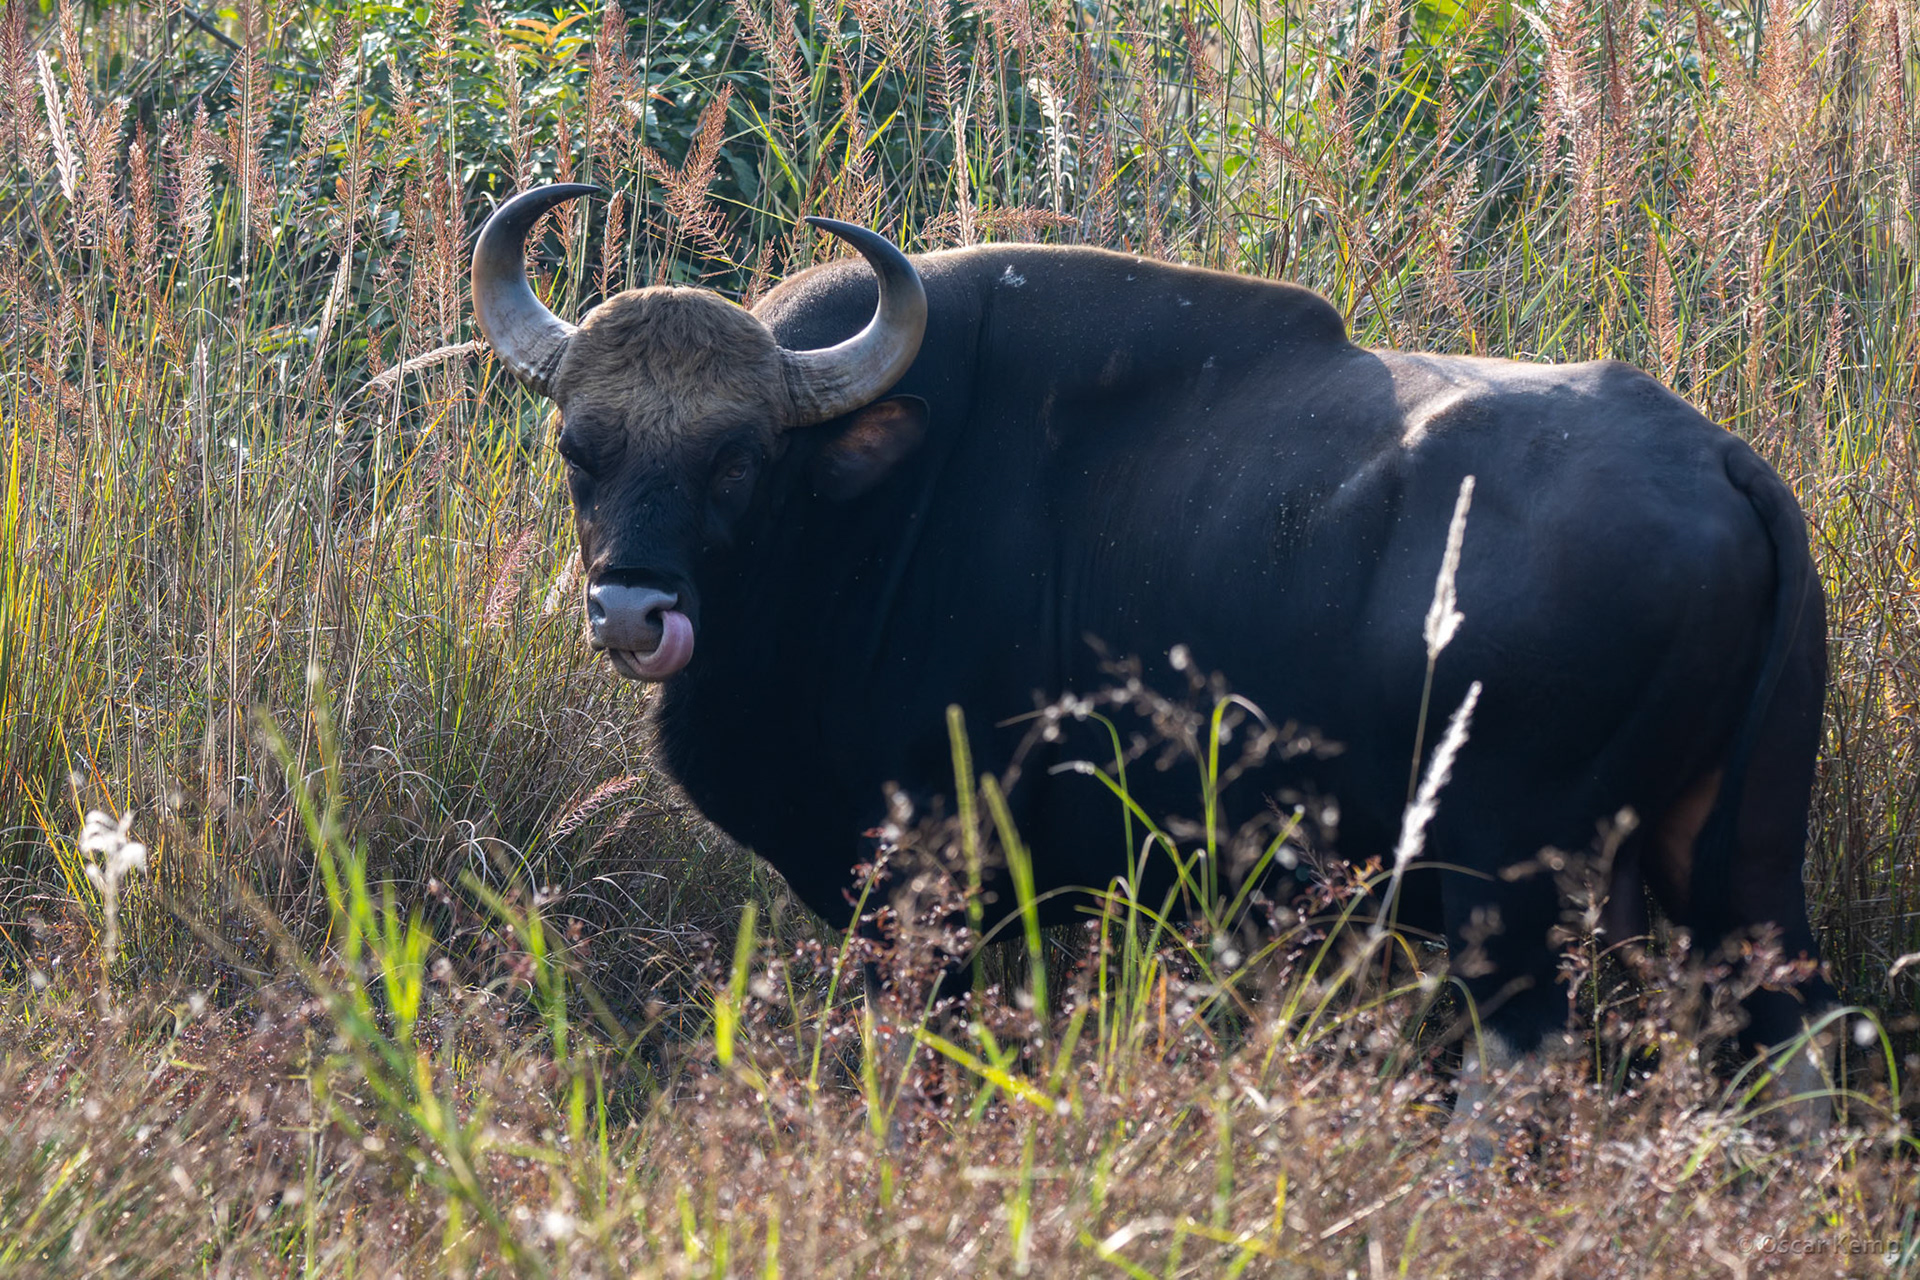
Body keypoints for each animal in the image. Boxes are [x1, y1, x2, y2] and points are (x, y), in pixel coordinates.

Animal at [471, 183, 1833, 1129]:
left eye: (737, 460)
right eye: (580, 448)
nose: (634, 608)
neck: (870, 510)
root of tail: (1723, 462)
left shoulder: (923, 886)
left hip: (1506, 867)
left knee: (1523, 1049)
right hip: (1746, 850)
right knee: (1793, 1024)